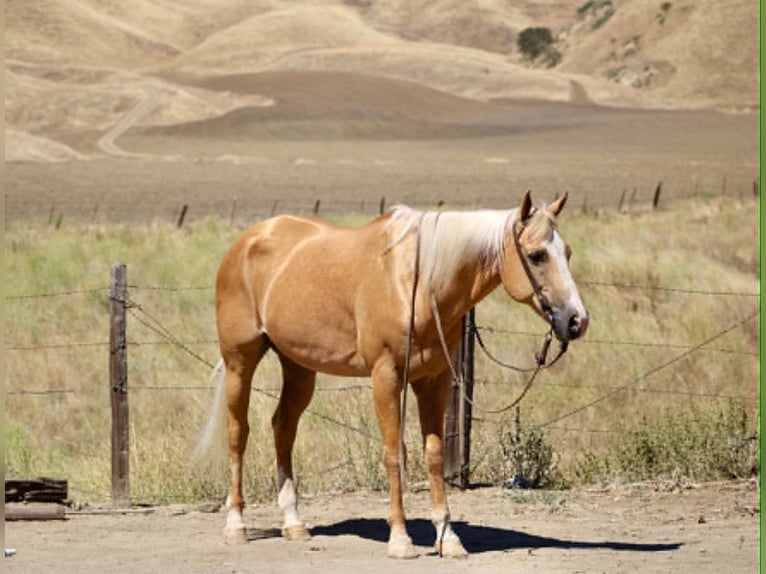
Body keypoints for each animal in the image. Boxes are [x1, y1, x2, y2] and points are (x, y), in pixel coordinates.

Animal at [197, 190, 588, 558]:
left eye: (567, 252)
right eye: (537, 255)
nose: (577, 320)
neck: (419, 281)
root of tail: (249, 239)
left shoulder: (434, 381)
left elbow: (432, 455)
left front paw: (448, 538)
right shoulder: (386, 376)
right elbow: (393, 454)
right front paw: (400, 538)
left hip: (298, 366)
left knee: (283, 428)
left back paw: (294, 523)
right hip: (240, 361)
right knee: (238, 433)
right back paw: (236, 525)